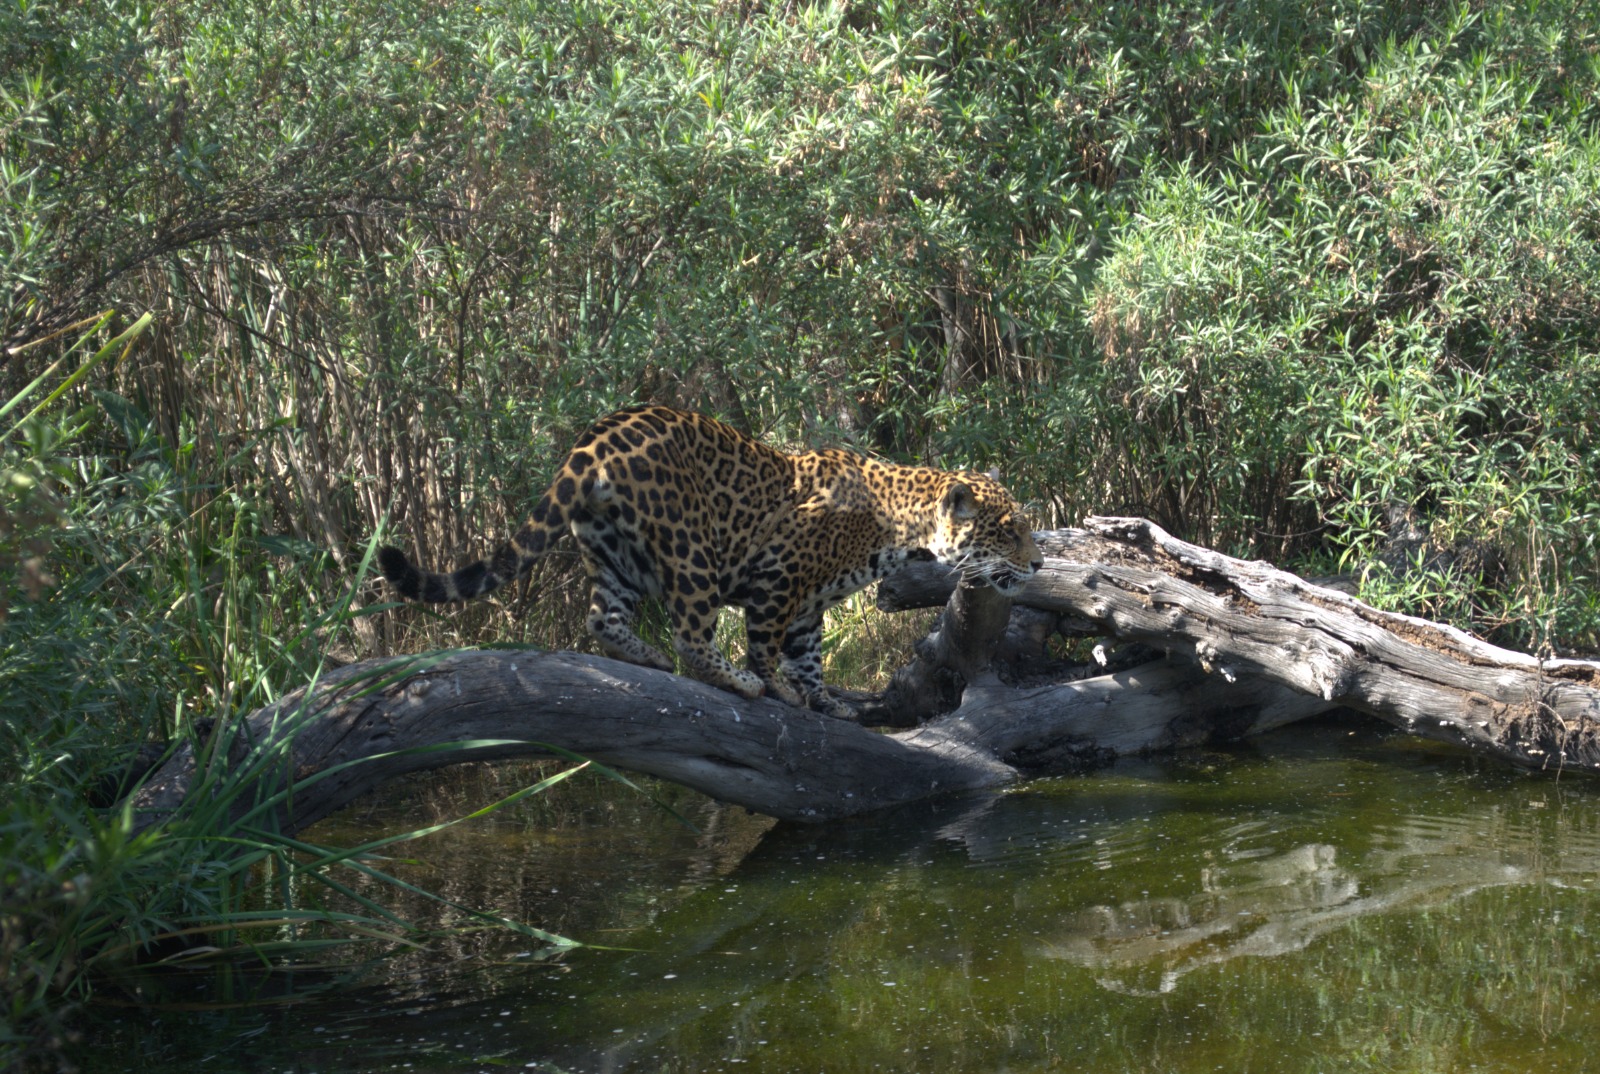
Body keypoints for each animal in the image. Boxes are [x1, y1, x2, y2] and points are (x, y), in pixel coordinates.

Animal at [377, 405, 1042, 718]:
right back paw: (733, 680)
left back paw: (644, 658)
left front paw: (827, 702)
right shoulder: (780, 577)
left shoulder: (809, 605)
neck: (898, 527)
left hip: (610, 549)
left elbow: (810, 657)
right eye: (1010, 531)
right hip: (688, 547)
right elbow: (768, 645)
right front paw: (778, 688)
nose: (1037, 565)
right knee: (692, 637)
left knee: (602, 617)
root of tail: (593, 439)